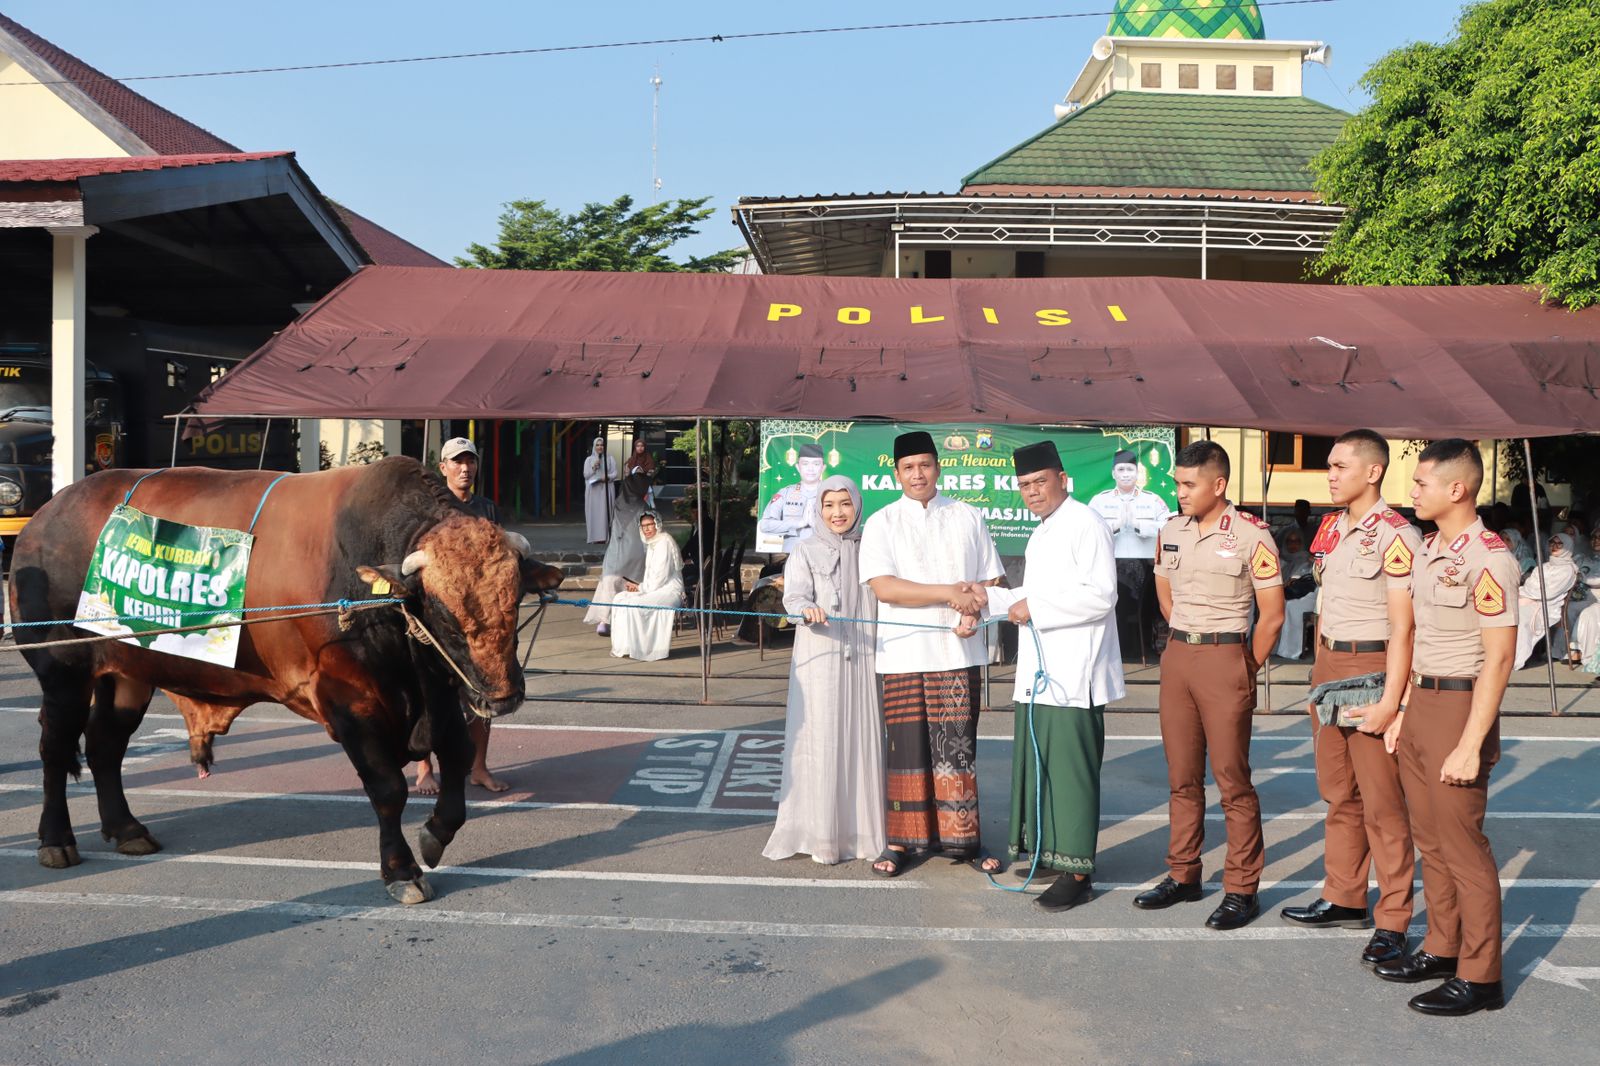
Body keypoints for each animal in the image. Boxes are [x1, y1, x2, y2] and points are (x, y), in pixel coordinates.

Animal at [6, 451, 566, 902]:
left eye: (515, 599)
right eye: (444, 614)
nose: (504, 695)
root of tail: (45, 517)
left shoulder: (442, 690)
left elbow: (456, 758)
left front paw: (436, 834)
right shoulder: (347, 698)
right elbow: (388, 788)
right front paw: (401, 870)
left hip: (128, 675)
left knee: (105, 745)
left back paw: (126, 828)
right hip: (63, 672)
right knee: (56, 749)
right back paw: (56, 840)